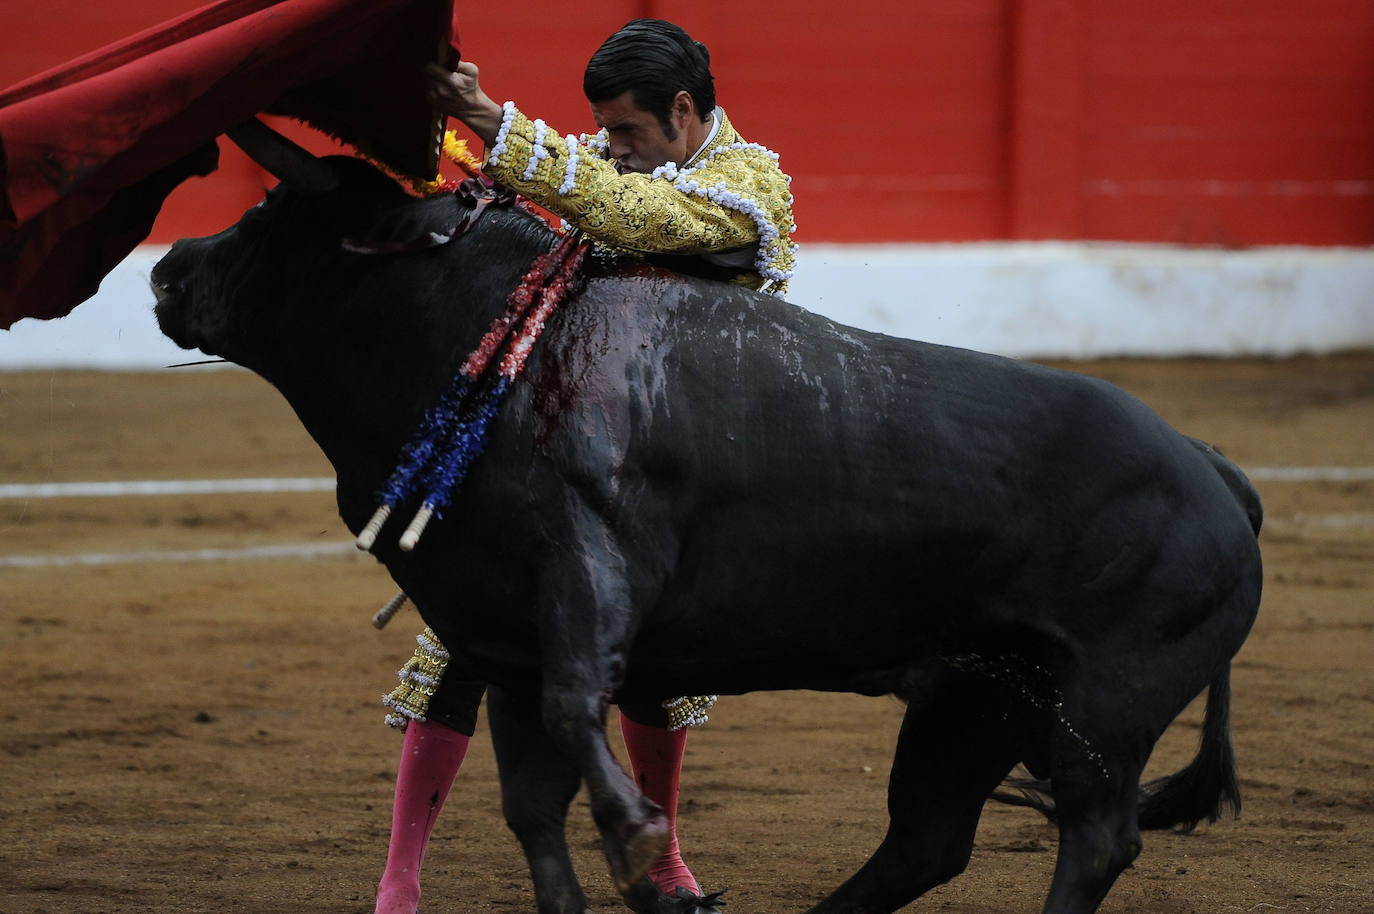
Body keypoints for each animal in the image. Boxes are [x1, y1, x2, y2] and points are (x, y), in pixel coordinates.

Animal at [147, 158, 1258, 912]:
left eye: (271, 215)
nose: (164, 270)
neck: (483, 330)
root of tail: (1212, 466)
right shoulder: (498, 633)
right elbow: (531, 799)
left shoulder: (584, 573)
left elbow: (575, 713)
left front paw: (643, 848)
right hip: (973, 698)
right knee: (930, 836)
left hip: (1104, 706)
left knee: (1094, 833)